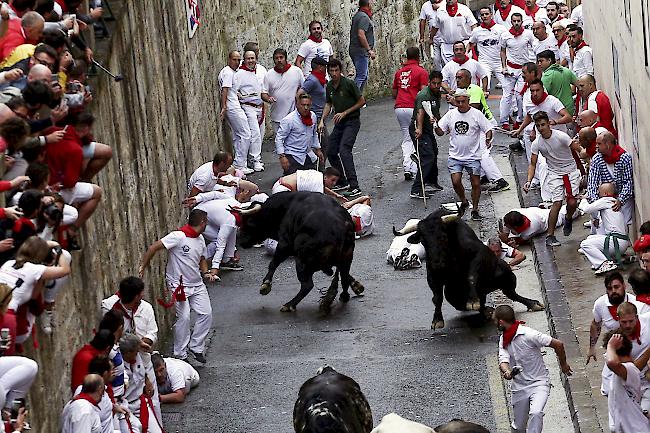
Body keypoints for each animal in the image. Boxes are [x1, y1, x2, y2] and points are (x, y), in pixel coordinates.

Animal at [230, 192, 362, 310]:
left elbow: (274, 263)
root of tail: (340, 229)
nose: (241, 240)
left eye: (249, 222)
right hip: (346, 258)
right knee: (343, 276)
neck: (284, 209)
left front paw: (265, 285)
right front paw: (357, 285)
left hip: (302, 262)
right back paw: (344, 296)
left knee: (307, 285)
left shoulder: (284, 244)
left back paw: (289, 305)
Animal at [392, 208, 544, 328]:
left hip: (506, 274)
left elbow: (471, 276)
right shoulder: (432, 275)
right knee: (475, 303)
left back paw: (533, 304)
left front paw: (472, 301)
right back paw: (486, 310)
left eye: (442, 236)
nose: (437, 263)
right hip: (452, 294)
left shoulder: (479, 255)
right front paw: (437, 320)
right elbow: (437, 297)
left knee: (511, 293)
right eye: (423, 240)